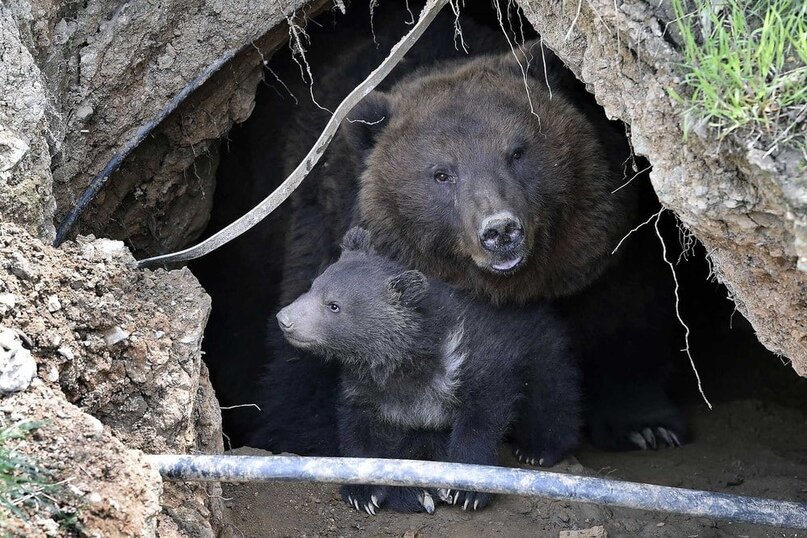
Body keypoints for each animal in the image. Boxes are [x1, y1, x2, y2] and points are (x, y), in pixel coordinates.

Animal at [251, 40, 680, 452]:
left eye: (517, 152)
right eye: (442, 173)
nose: (500, 230)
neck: (511, 286)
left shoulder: (597, 257)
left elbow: (624, 319)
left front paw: (646, 425)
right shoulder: (326, 228)